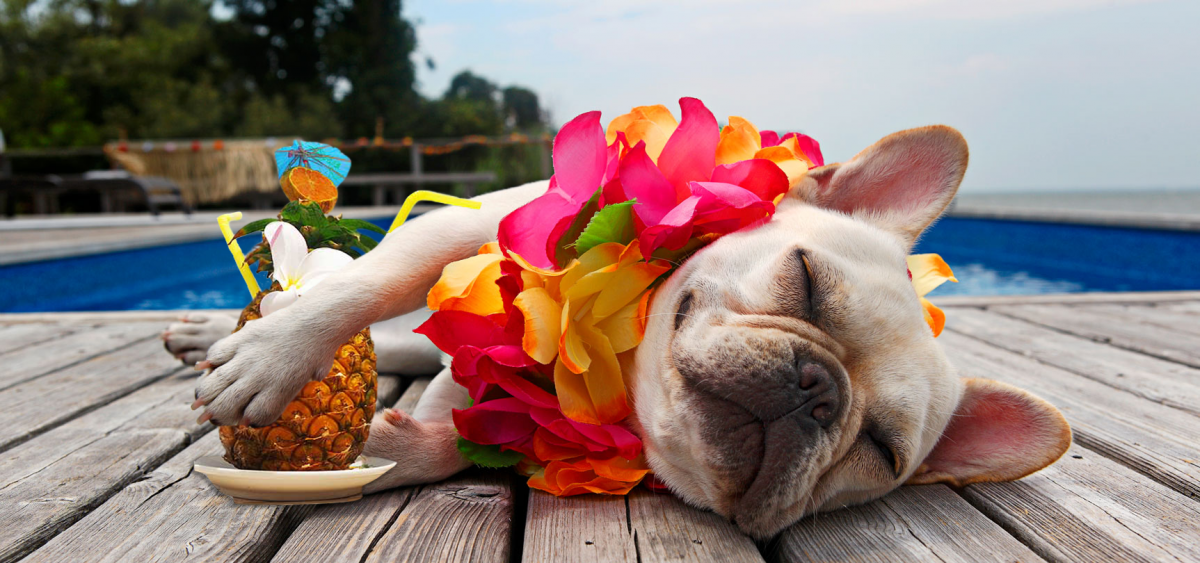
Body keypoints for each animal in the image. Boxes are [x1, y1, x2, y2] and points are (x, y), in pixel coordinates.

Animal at [166, 124, 1070, 537]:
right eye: (806, 280)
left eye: (880, 450)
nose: (817, 388)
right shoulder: (477, 222)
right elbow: (374, 281)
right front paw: (277, 359)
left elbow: (458, 444)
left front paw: (383, 449)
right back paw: (219, 334)